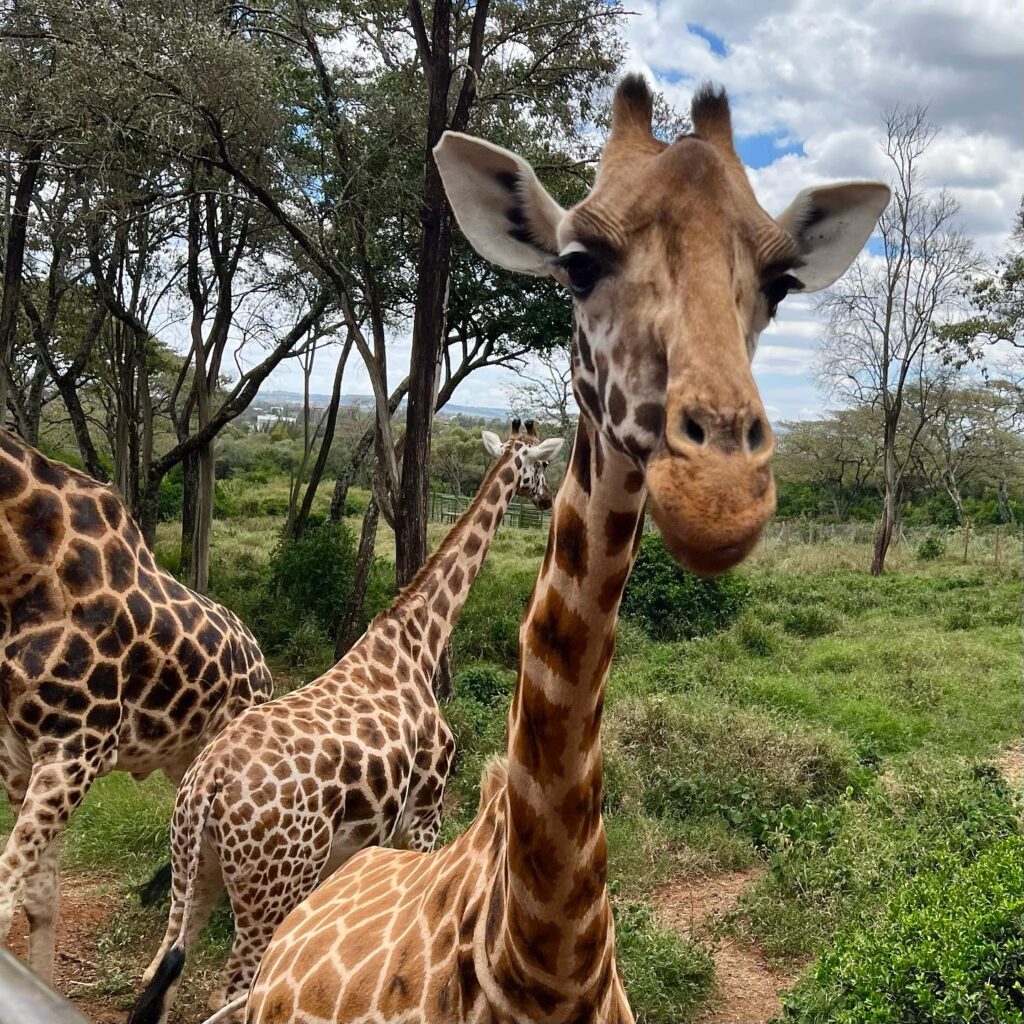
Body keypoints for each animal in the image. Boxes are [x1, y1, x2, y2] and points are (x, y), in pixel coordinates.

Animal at [0, 425, 272, 983]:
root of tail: (264, 666)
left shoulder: (76, 748)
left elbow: (5, 900)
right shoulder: (19, 756)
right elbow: (39, 898)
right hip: (184, 768)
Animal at [129, 421, 565, 1024]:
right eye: (542, 465)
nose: (547, 499)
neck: (417, 640)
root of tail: (206, 787)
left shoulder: (356, 850)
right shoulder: (425, 813)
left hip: (194, 872)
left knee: (158, 974)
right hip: (272, 889)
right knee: (230, 993)